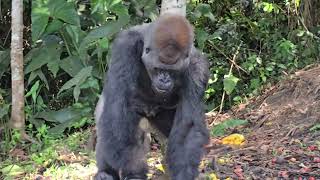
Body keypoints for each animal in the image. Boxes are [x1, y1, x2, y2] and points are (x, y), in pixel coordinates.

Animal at [95, 14, 210, 180]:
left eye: (172, 71)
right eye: (157, 69)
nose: (164, 80)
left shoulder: (197, 67)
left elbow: (188, 126)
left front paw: (184, 173)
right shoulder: (125, 47)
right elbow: (117, 112)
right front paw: (134, 171)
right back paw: (105, 172)